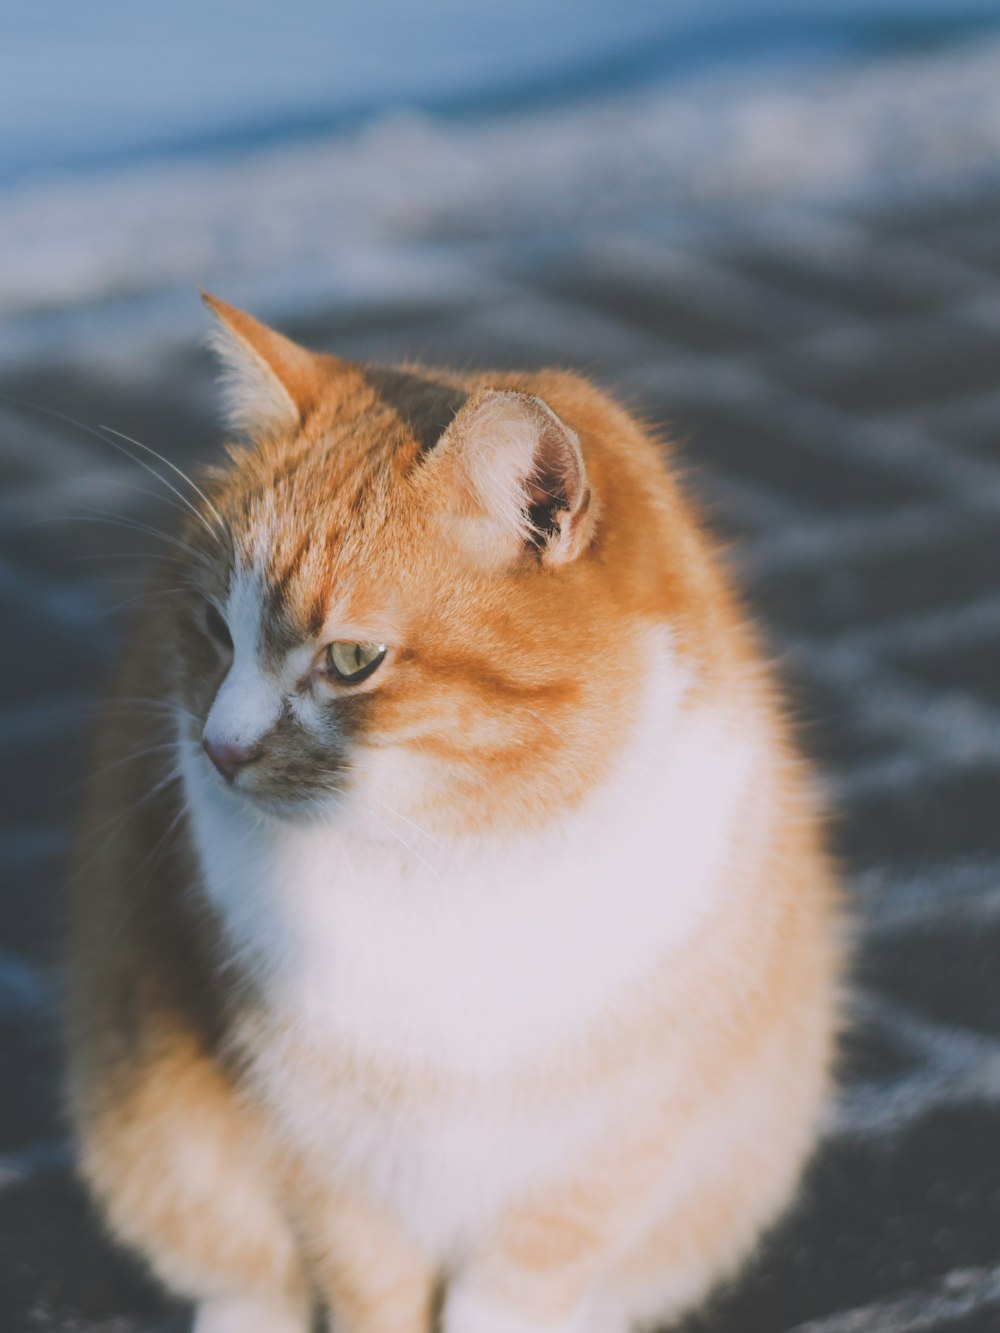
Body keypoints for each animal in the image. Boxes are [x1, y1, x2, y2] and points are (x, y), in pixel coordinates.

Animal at [64, 299, 848, 1333]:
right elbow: (369, 1291)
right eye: (213, 630)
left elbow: (516, 1293)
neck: (450, 856)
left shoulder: (598, 1161)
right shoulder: (323, 1160)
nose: (220, 750)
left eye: (352, 659)